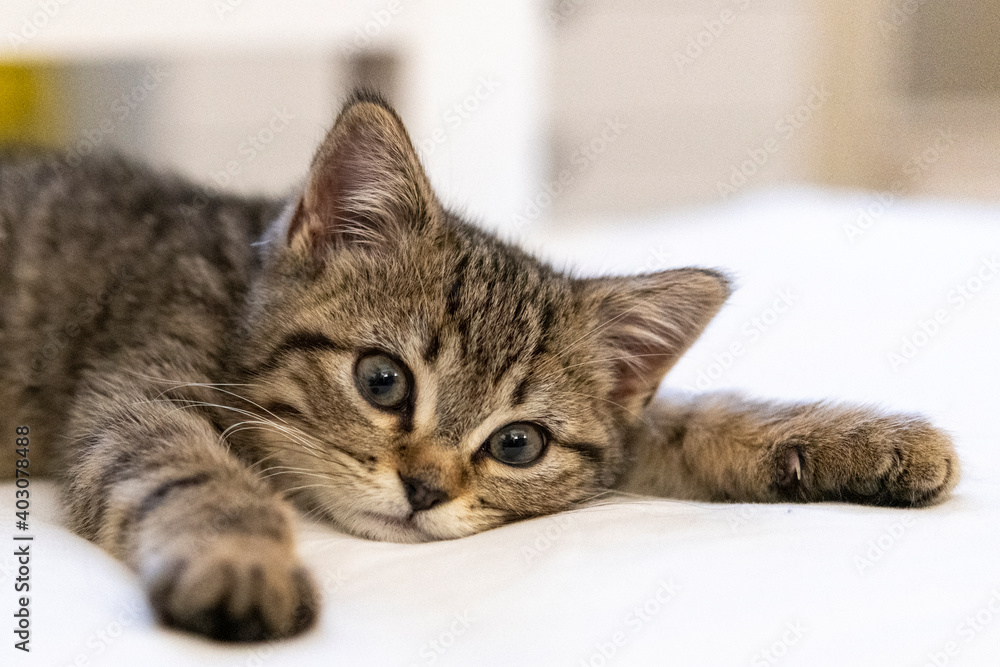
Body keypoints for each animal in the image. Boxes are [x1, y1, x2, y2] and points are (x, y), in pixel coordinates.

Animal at [0, 91, 956, 644]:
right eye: (382, 380)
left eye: (518, 444)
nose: (424, 487)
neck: (239, 287)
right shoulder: (140, 391)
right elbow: (191, 469)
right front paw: (242, 558)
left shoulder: (612, 439)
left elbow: (681, 418)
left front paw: (868, 440)